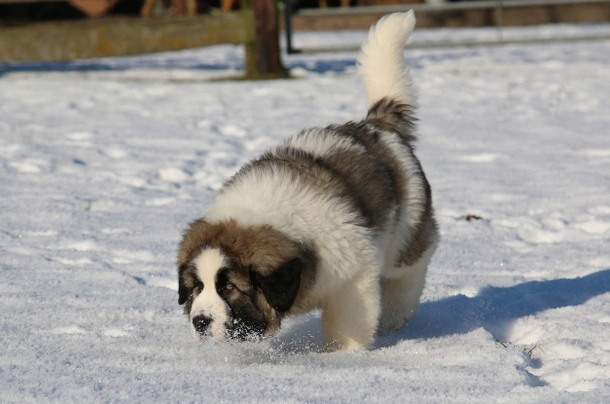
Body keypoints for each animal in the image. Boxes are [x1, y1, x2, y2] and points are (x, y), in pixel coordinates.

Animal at [176, 11, 436, 352]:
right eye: (196, 286)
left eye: (229, 287)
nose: (200, 322)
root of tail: (377, 125)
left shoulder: (354, 272)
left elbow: (348, 319)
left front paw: (344, 354)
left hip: (406, 229)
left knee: (411, 265)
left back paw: (396, 312)